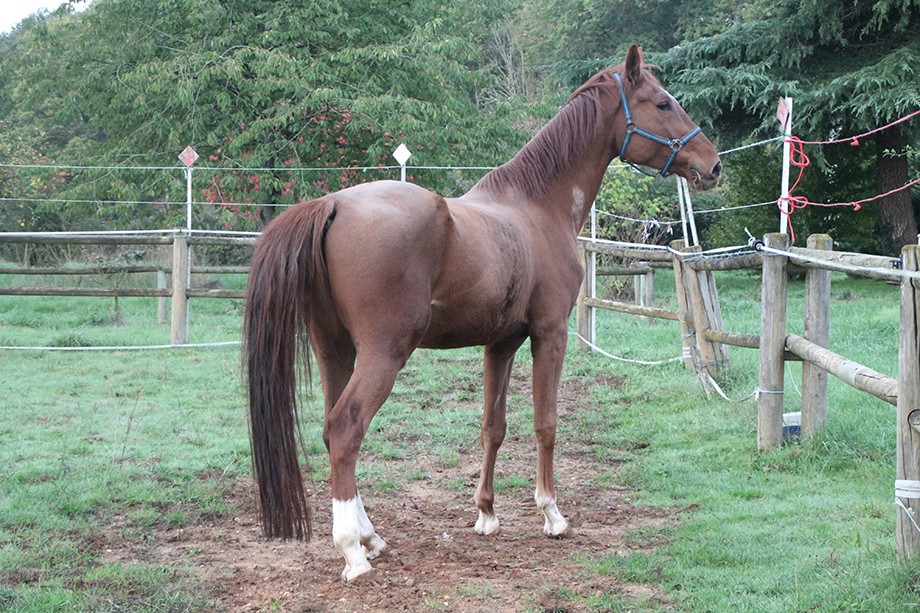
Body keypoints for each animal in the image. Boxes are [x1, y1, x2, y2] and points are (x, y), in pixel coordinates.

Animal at [244, 44, 721, 582]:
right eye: (662, 103)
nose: (714, 165)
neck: (537, 207)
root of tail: (332, 204)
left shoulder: (501, 342)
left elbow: (493, 427)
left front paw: (487, 514)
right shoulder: (549, 334)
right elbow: (545, 422)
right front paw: (552, 514)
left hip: (335, 350)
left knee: (331, 432)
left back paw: (371, 537)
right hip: (383, 355)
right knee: (346, 431)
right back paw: (353, 552)